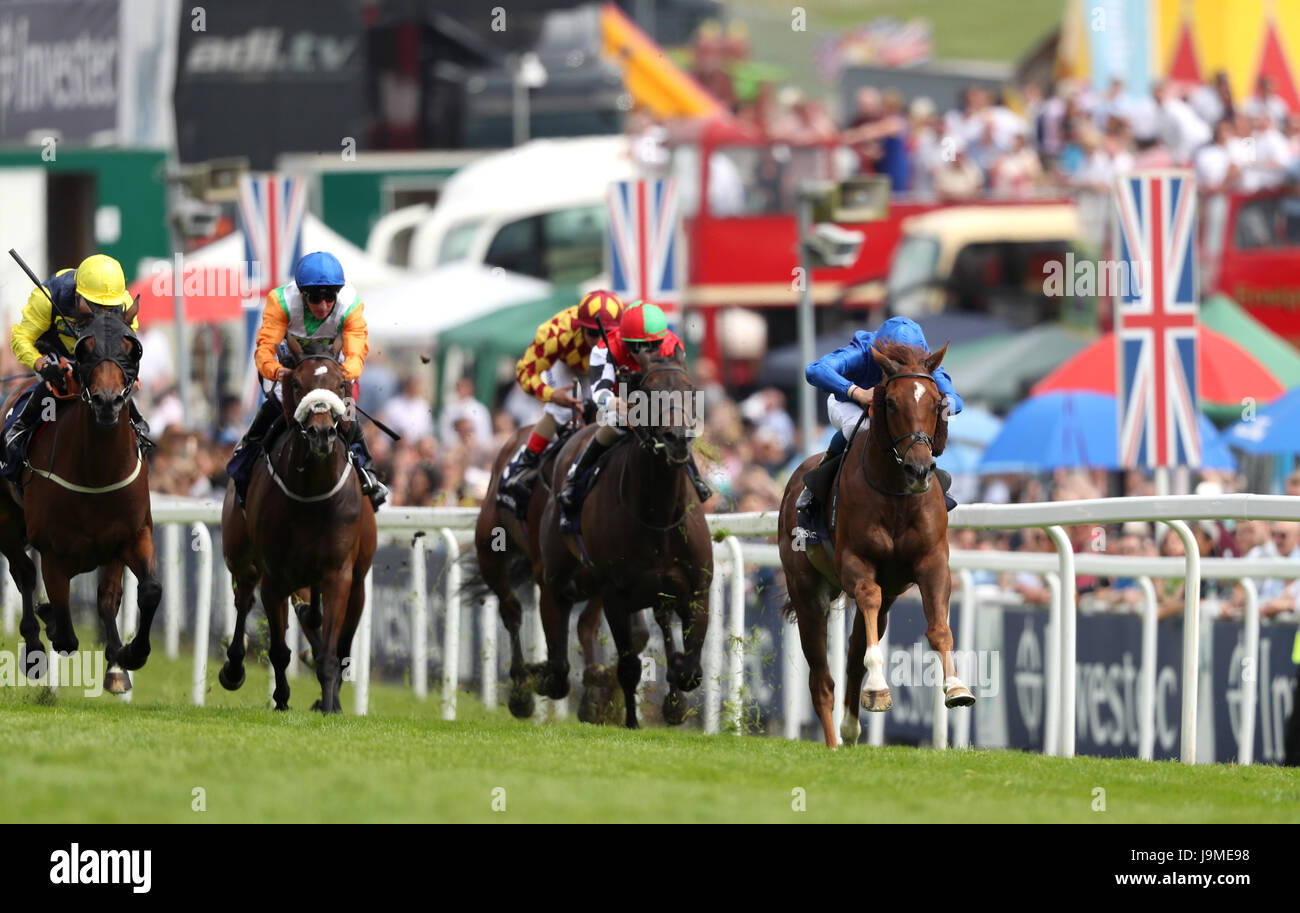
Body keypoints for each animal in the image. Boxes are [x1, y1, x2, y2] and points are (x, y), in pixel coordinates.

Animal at [0, 300, 161, 691]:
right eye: (84, 349)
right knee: (24, 572)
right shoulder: (54, 553)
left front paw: (127, 657)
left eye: (133, 349)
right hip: (5, 520)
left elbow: (139, 592)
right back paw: (34, 645)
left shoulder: (131, 536)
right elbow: (67, 634)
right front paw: (50, 624)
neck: (95, 474)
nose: (107, 402)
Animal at [219, 338, 377, 717]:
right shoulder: (275, 576)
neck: (312, 496)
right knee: (244, 597)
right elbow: (278, 648)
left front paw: (330, 703)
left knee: (328, 630)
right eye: (296, 385)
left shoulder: (338, 573)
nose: (321, 433)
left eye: (341, 383)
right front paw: (281, 696)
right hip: (241, 557)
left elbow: (333, 649)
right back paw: (234, 667)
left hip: (350, 581)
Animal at [540, 353, 722, 733]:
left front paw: (676, 694)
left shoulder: (697, 590)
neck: (659, 516)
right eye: (648, 392)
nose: (676, 438)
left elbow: (691, 669)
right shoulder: (616, 595)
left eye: (689, 389)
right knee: (553, 606)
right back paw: (553, 676)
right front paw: (632, 721)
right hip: (558, 568)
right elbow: (628, 666)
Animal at [774, 343, 972, 749]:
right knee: (821, 678)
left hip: (890, 592)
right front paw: (879, 687)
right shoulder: (856, 561)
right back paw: (834, 741)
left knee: (854, 651)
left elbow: (939, 628)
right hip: (806, 591)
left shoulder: (931, 562)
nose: (919, 469)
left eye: (937, 402)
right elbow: (867, 598)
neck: (895, 494)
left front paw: (956, 687)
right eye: (891, 402)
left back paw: (850, 729)